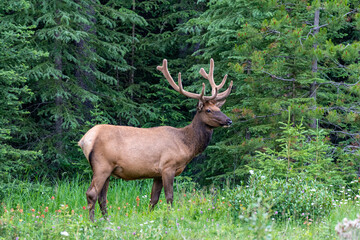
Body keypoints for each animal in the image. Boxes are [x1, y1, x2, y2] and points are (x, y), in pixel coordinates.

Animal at [78, 59, 233, 220]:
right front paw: (170, 218)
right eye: (209, 110)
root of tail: (84, 140)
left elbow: (154, 199)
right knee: (92, 193)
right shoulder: (168, 166)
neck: (186, 145)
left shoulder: (157, 173)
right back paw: (93, 221)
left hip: (108, 169)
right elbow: (169, 197)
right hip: (102, 165)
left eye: (219, 108)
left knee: (102, 196)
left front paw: (151, 217)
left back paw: (106, 220)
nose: (229, 121)